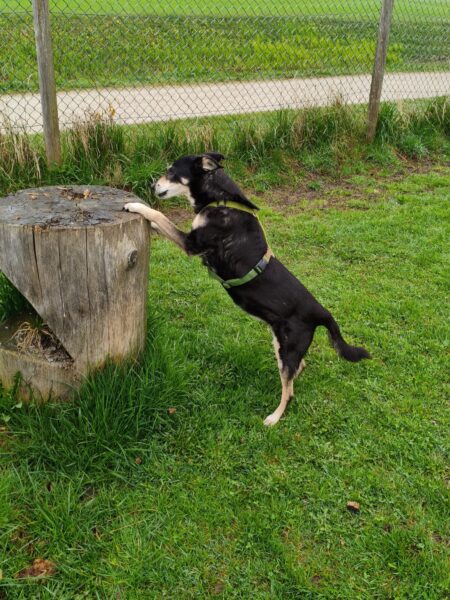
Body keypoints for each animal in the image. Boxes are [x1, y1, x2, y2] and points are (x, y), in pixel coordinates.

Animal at [124, 152, 370, 426]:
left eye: (171, 171)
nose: (151, 185)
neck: (220, 199)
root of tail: (322, 312)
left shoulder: (192, 242)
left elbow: (159, 216)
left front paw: (136, 206)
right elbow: (159, 223)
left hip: (289, 348)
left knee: (288, 391)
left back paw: (274, 418)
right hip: (281, 344)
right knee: (298, 371)